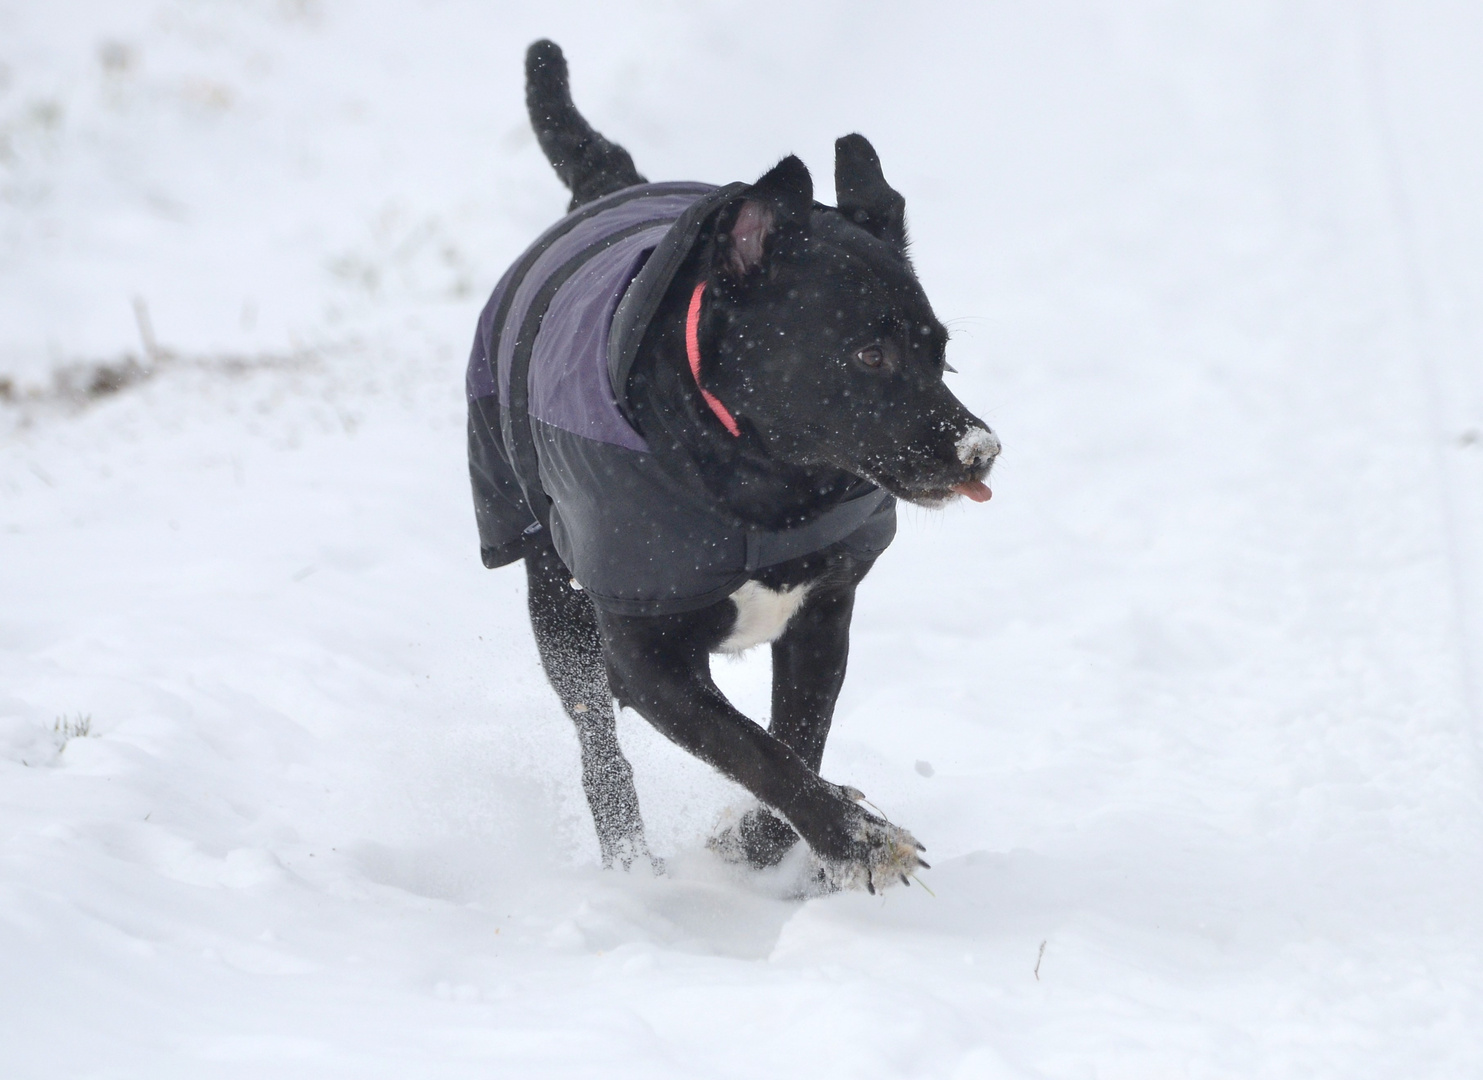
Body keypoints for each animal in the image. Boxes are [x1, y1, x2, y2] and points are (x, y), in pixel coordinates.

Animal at [465, 38, 996, 890]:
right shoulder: (644, 660)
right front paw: (859, 841)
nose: (979, 450)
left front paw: (760, 840)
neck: (763, 484)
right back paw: (629, 866)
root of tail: (609, 186)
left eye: (938, 350)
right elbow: (753, 750)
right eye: (868, 354)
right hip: (552, 598)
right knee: (598, 751)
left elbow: (796, 739)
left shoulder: (823, 614)